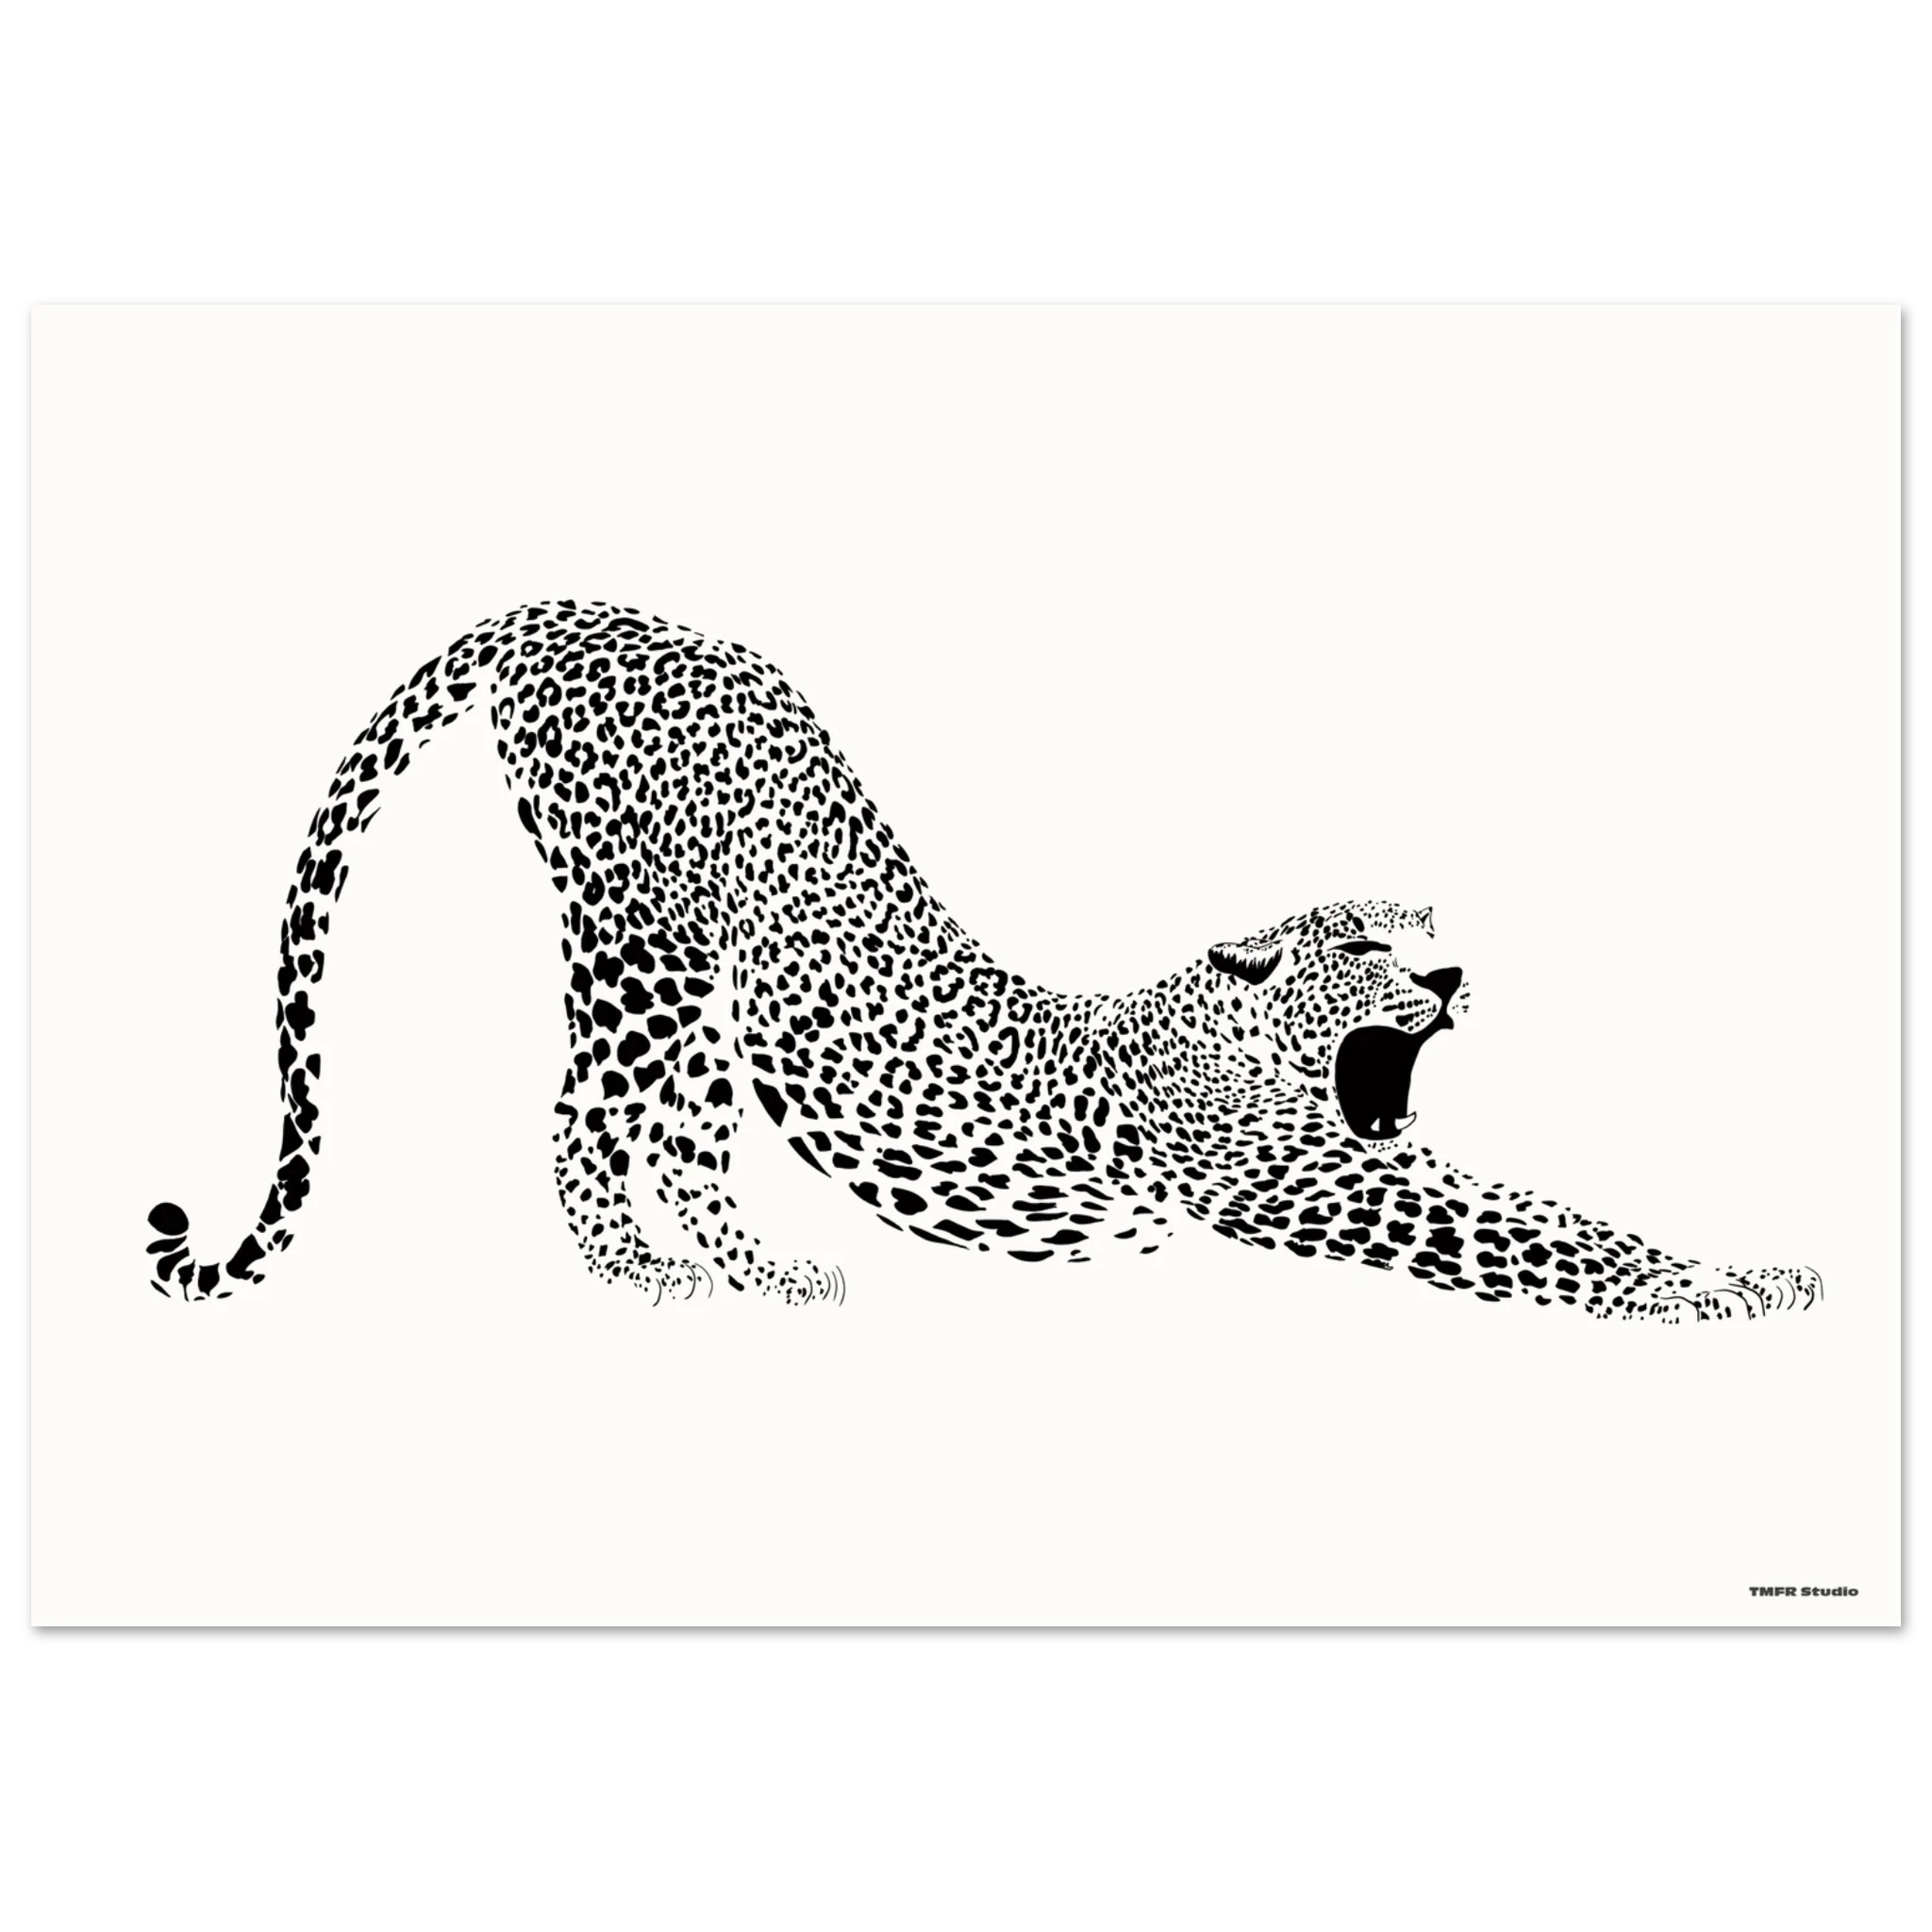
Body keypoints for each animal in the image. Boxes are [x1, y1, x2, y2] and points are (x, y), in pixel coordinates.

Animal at [145, 599, 1822, 1324]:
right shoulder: (1312, 1184)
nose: (1457, 984)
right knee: (581, 1116)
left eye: (1424, 937)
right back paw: (643, 1278)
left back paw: (767, 1275)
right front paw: (1704, 1301)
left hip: (721, 992)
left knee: (687, 1138)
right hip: (639, 943)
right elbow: (1536, 1239)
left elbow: (1563, 1205)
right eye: (1360, 946)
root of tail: (578, 600)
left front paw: (1760, 1268)